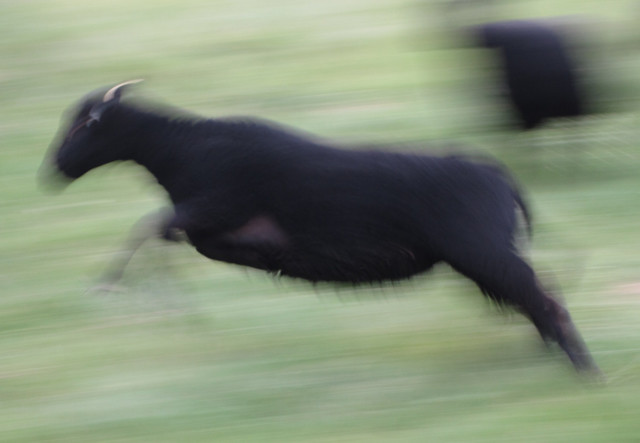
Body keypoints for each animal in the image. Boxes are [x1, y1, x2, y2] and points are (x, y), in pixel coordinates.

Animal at [39, 81, 599, 375]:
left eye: (84, 124)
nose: (52, 172)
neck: (180, 151)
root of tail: (503, 178)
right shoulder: (211, 230)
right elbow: (162, 237)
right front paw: (172, 307)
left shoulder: (212, 210)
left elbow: (147, 229)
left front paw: (118, 289)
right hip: (481, 255)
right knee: (533, 296)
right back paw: (554, 358)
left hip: (481, 248)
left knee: (544, 297)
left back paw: (585, 371)